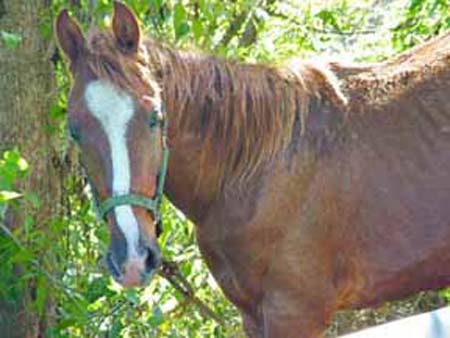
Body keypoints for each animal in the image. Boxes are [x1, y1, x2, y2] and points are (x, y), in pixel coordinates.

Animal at [54, 3, 450, 338]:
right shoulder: (252, 315)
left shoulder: (294, 314)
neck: (254, 172)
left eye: (155, 117)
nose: (132, 259)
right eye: (74, 130)